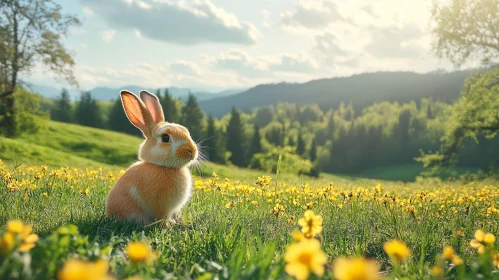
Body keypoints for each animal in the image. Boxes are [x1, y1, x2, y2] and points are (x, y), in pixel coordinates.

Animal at [106, 91, 198, 226]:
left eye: (186, 131)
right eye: (165, 138)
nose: (192, 150)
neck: (162, 166)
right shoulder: (161, 206)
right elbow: (162, 217)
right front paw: (166, 227)